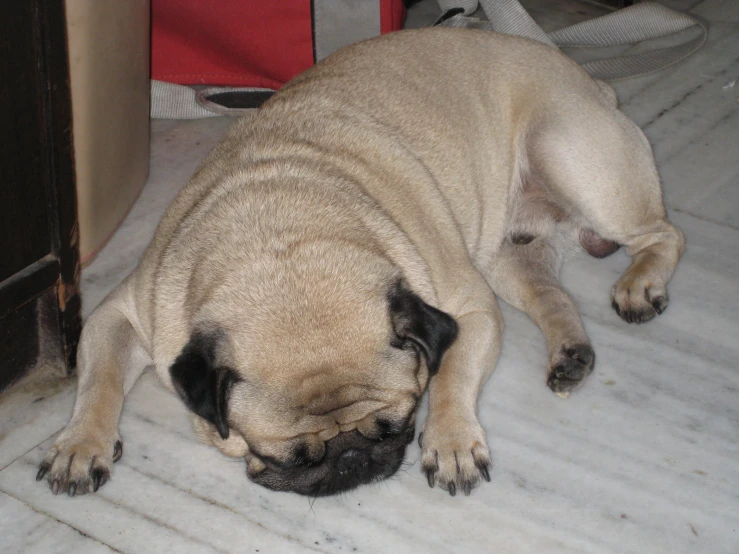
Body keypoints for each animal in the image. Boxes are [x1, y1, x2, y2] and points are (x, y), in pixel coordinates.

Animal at [37, 27, 684, 496]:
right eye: (283, 455)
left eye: (398, 424)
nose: (351, 460)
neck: (281, 245)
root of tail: (591, 83)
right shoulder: (122, 316)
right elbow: (98, 381)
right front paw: (80, 445)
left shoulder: (469, 311)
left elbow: (451, 375)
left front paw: (451, 441)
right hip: (508, 248)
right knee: (551, 290)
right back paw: (570, 352)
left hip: (572, 157)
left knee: (664, 234)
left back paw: (639, 285)